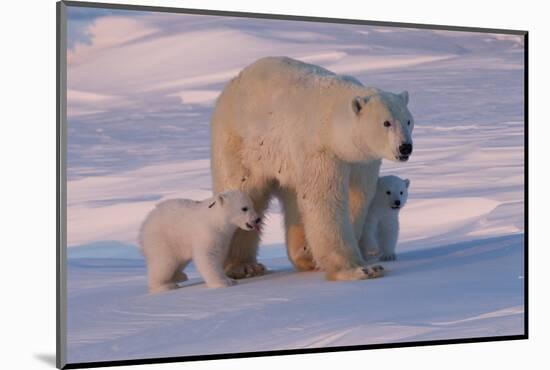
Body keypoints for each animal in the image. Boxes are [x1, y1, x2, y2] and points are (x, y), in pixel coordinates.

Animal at [210, 56, 414, 280]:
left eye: (408, 121)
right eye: (386, 123)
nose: (405, 147)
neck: (333, 124)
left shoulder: (362, 161)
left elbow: (357, 198)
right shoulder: (320, 151)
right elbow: (325, 199)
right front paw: (359, 269)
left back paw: (305, 256)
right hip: (243, 145)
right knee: (244, 191)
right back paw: (243, 266)